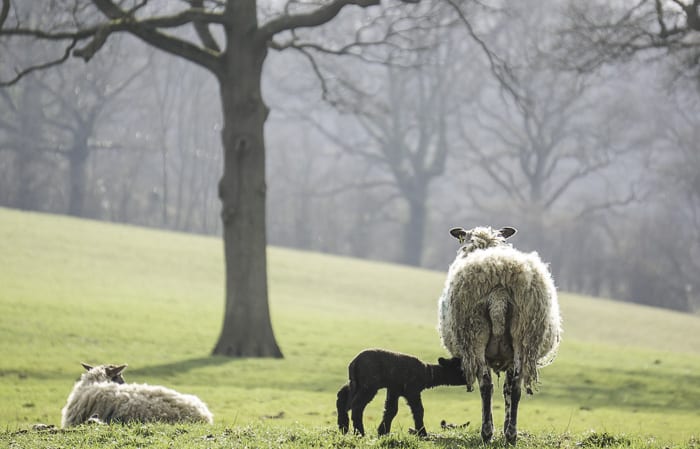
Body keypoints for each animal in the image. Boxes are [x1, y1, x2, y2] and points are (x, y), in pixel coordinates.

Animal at [334, 348, 464, 436]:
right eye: (458, 368)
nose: (467, 379)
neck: (428, 374)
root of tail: (354, 363)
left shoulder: (394, 389)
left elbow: (391, 410)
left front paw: (383, 432)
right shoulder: (412, 390)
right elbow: (418, 411)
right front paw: (422, 433)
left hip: (356, 382)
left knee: (342, 397)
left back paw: (343, 427)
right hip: (369, 384)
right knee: (356, 405)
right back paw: (359, 432)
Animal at [438, 226, 564, 442]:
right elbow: (508, 389)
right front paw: (506, 428)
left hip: (474, 333)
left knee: (486, 386)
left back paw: (487, 432)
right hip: (523, 335)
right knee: (515, 387)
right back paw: (511, 434)